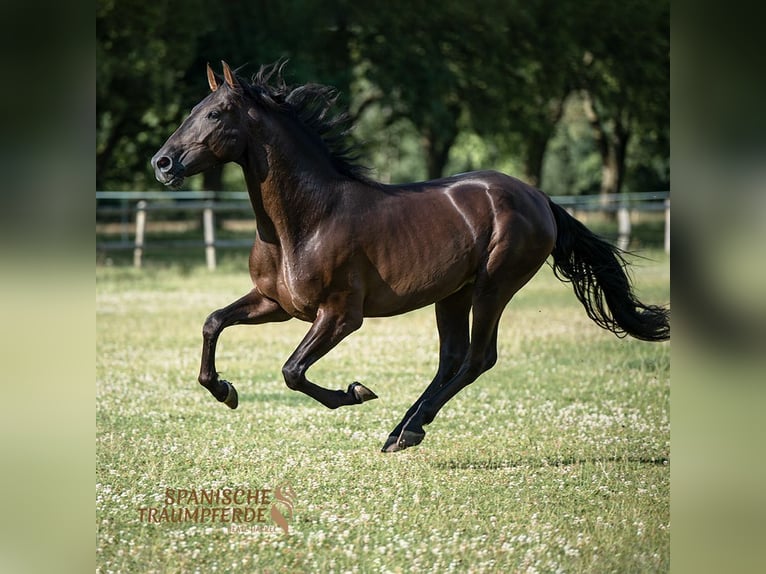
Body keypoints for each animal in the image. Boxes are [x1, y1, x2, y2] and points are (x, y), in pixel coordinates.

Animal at [153, 62, 668, 454]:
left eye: (215, 113)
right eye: (192, 110)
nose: (162, 163)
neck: (306, 221)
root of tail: (538, 197)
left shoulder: (341, 315)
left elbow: (292, 371)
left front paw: (355, 393)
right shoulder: (276, 304)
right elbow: (213, 322)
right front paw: (225, 391)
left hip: (493, 287)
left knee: (477, 359)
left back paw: (408, 431)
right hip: (453, 294)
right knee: (452, 359)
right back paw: (402, 430)